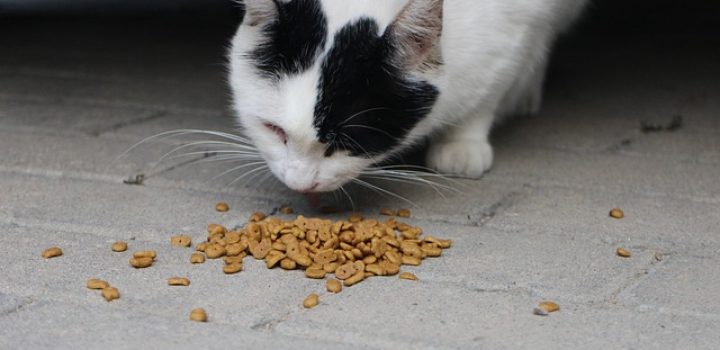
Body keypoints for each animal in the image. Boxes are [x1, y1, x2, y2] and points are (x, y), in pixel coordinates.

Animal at [228, 0, 588, 191]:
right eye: (273, 130)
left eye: (345, 144)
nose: (300, 185)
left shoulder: (515, 28)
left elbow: (490, 89)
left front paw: (463, 141)